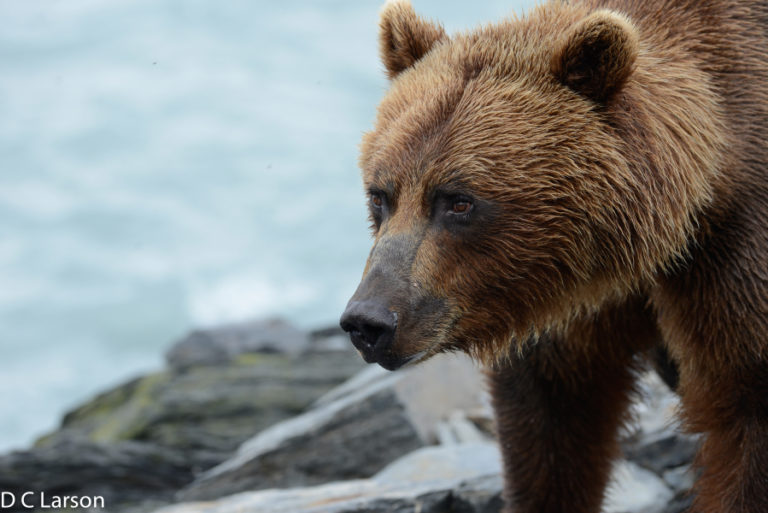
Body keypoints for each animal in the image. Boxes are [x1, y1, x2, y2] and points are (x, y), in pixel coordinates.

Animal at [342, 0, 768, 510]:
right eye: (380, 196)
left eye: (459, 201)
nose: (368, 321)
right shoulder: (557, 295)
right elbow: (553, 429)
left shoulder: (733, 254)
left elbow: (745, 415)